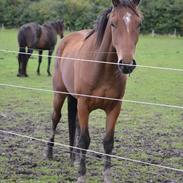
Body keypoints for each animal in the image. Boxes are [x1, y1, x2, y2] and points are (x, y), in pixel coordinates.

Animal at [46, 0, 142, 182]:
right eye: (113, 24)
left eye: (139, 24)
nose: (126, 64)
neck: (102, 68)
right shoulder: (84, 105)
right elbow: (85, 141)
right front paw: (81, 176)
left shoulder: (114, 108)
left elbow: (108, 142)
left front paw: (107, 177)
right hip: (59, 94)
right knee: (55, 118)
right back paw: (49, 153)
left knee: (75, 123)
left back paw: (75, 158)